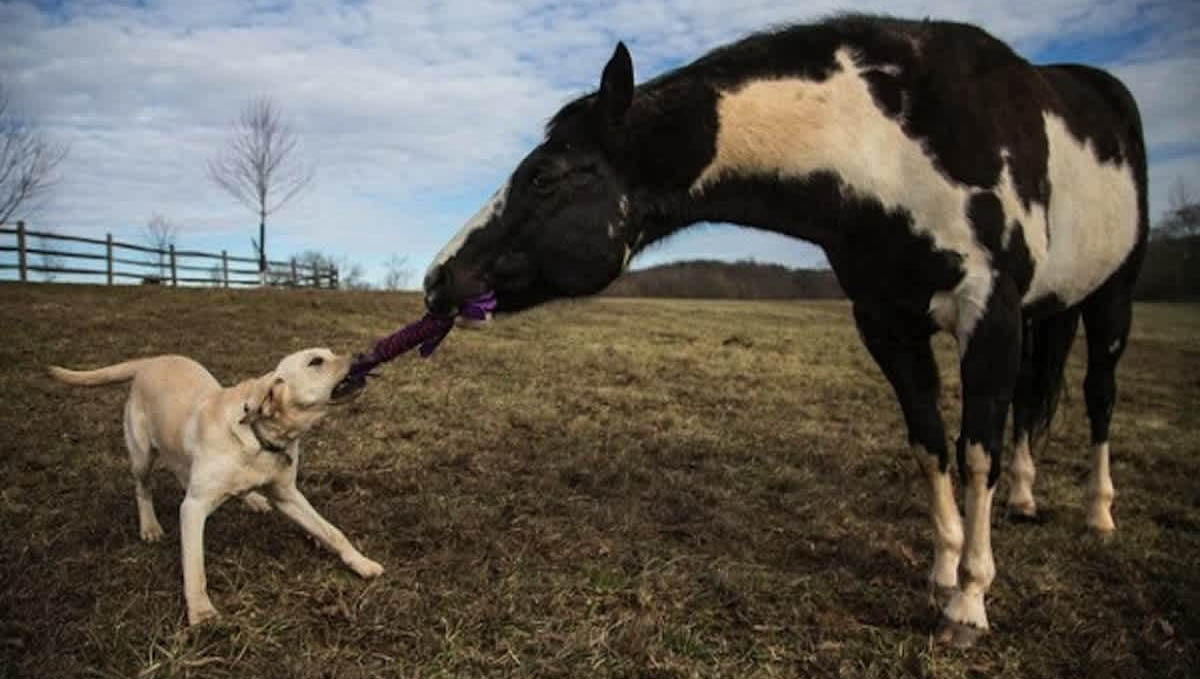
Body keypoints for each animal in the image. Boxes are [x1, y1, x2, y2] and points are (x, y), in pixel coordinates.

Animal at [49, 350, 379, 628]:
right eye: (316, 361)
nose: (360, 356)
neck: (258, 435)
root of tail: (151, 359)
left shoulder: (288, 496)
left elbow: (333, 533)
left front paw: (362, 563)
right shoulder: (193, 508)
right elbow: (195, 567)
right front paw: (201, 612)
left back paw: (253, 499)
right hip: (142, 456)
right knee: (143, 489)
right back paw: (150, 526)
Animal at [420, 13, 1142, 647]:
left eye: (543, 175)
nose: (436, 279)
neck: (897, 148)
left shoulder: (988, 313)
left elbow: (975, 453)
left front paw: (968, 601)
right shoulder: (886, 322)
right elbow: (930, 443)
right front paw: (943, 570)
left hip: (1112, 298)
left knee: (1099, 396)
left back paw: (1101, 513)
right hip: (1050, 308)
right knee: (1033, 399)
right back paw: (1026, 497)